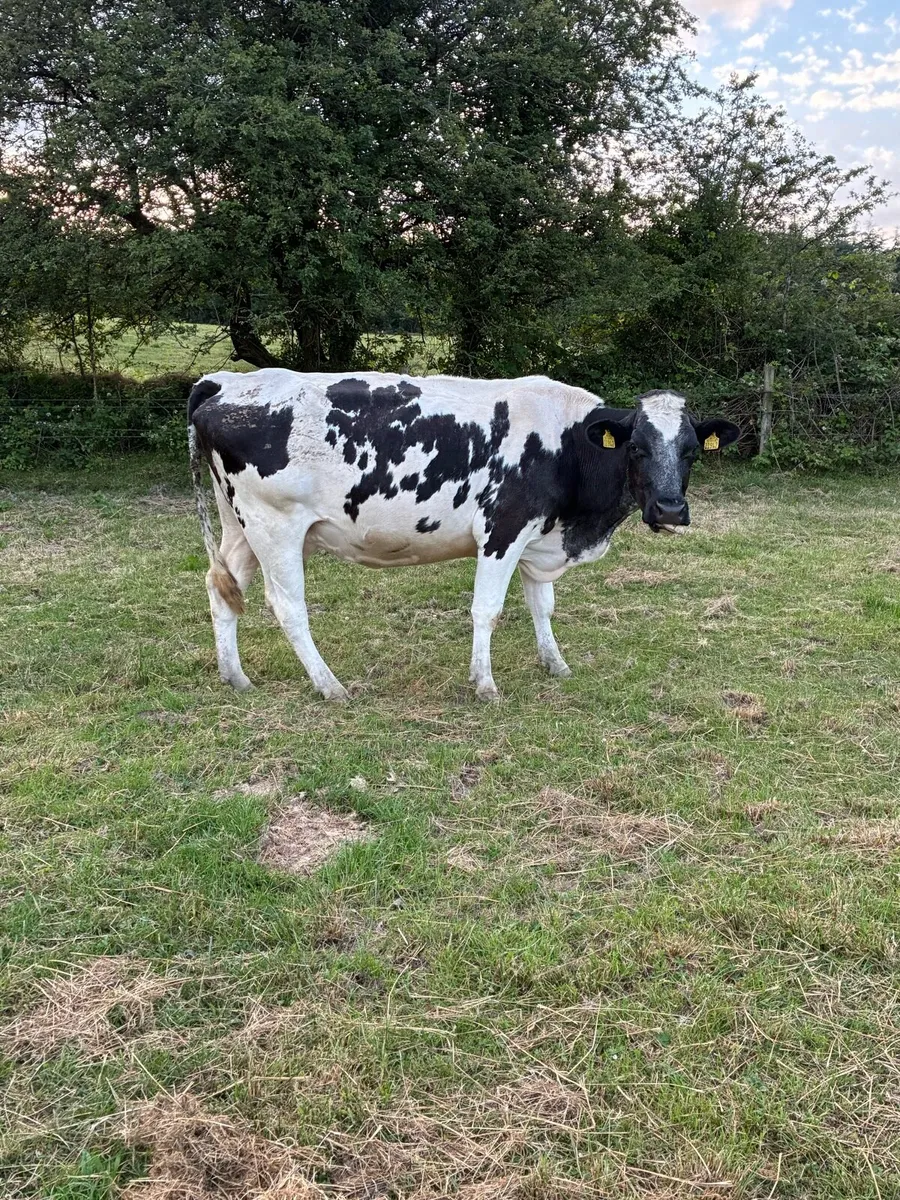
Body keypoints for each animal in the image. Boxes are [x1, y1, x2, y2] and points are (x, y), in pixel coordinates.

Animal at [187, 370, 739, 701]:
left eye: (691, 450)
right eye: (637, 448)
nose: (670, 509)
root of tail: (227, 380)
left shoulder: (536, 537)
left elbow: (542, 606)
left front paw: (554, 664)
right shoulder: (502, 529)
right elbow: (486, 610)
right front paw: (485, 683)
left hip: (240, 526)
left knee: (222, 588)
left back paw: (235, 677)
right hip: (275, 525)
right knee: (288, 607)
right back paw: (329, 685)